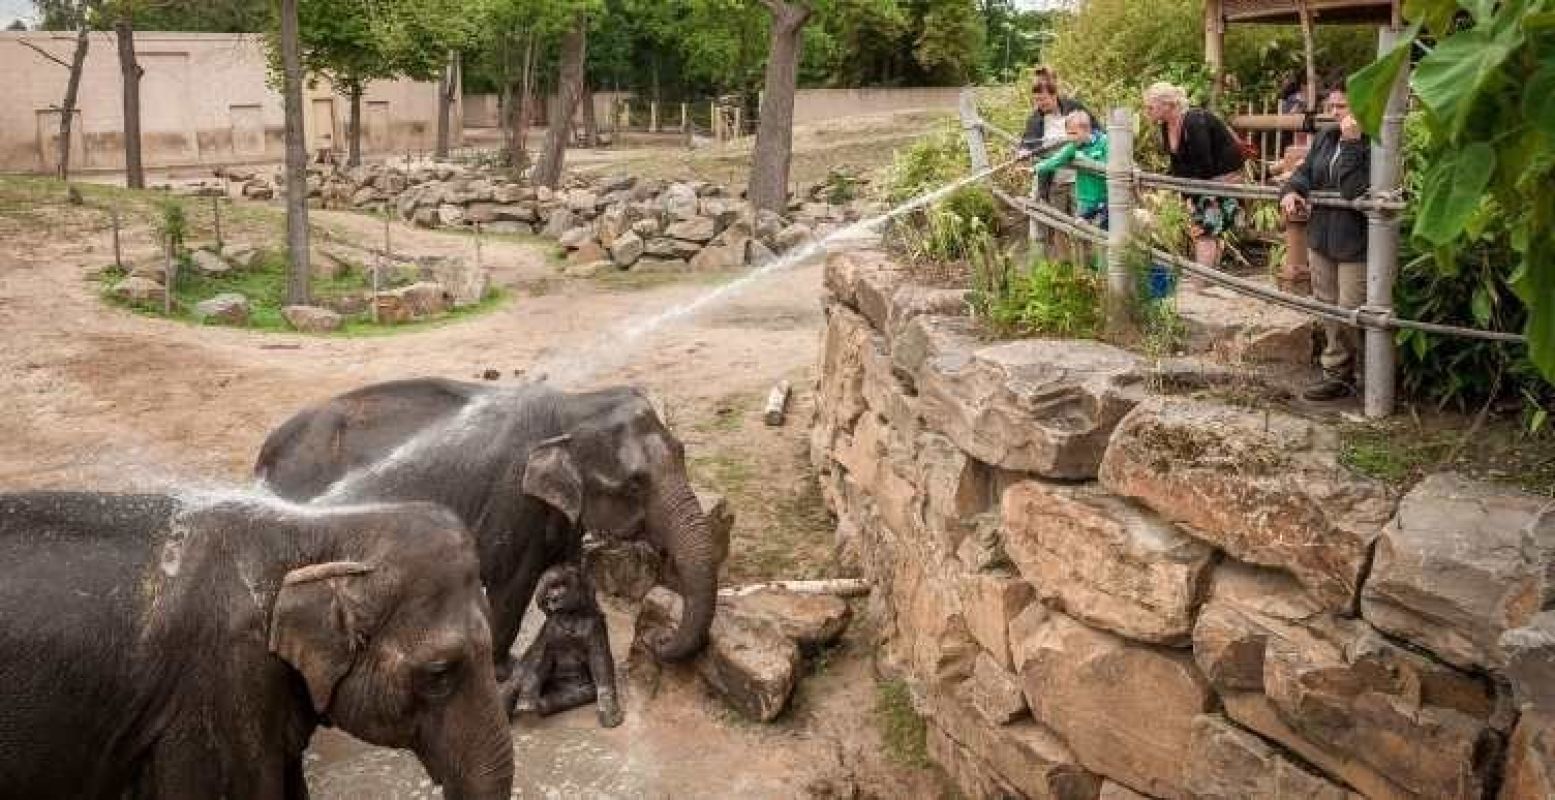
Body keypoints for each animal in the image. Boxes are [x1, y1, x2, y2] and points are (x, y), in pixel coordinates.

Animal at [256, 376, 721, 669]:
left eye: (683, 452)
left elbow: (569, 570)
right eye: (636, 483)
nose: (656, 640)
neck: (573, 405)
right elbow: (510, 588)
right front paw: (502, 670)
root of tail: (264, 454)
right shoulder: (512, 500)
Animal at [516, 563, 625, 725]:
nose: (552, 598)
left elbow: (600, 661)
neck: (571, 615)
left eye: (559, 586)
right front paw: (525, 703)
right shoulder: (550, 626)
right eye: (550, 588)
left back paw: (543, 705)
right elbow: (540, 658)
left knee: (580, 693)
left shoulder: (595, 625)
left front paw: (610, 711)